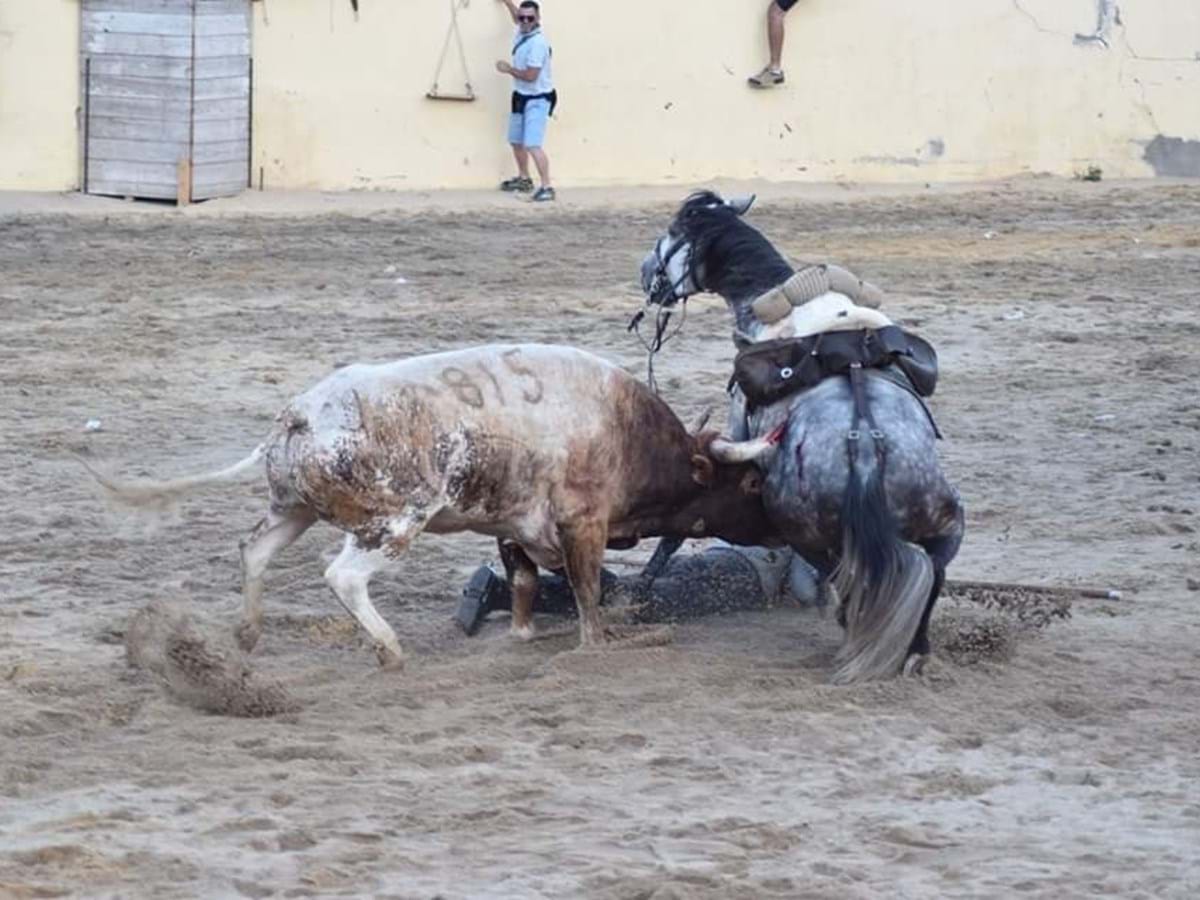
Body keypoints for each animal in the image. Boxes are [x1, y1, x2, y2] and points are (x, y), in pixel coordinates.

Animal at [84, 345, 777, 672]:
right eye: (748, 485)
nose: (778, 529)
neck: (625, 431)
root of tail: (300, 416)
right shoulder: (583, 523)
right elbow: (586, 591)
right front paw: (597, 644)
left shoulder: (513, 522)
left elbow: (524, 582)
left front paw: (522, 635)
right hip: (394, 520)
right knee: (343, 576)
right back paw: (389, 649)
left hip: (293, 507)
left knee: (253, 550)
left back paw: (249, 633)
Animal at [638, 190, 964, 681]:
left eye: (672, 233)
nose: (645, 273)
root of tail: (863, 449)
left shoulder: (734, 430)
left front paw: (638, 592)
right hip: (946, 523)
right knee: (929, 576)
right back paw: (914, 652)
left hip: (807, 535)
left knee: (848, 588)